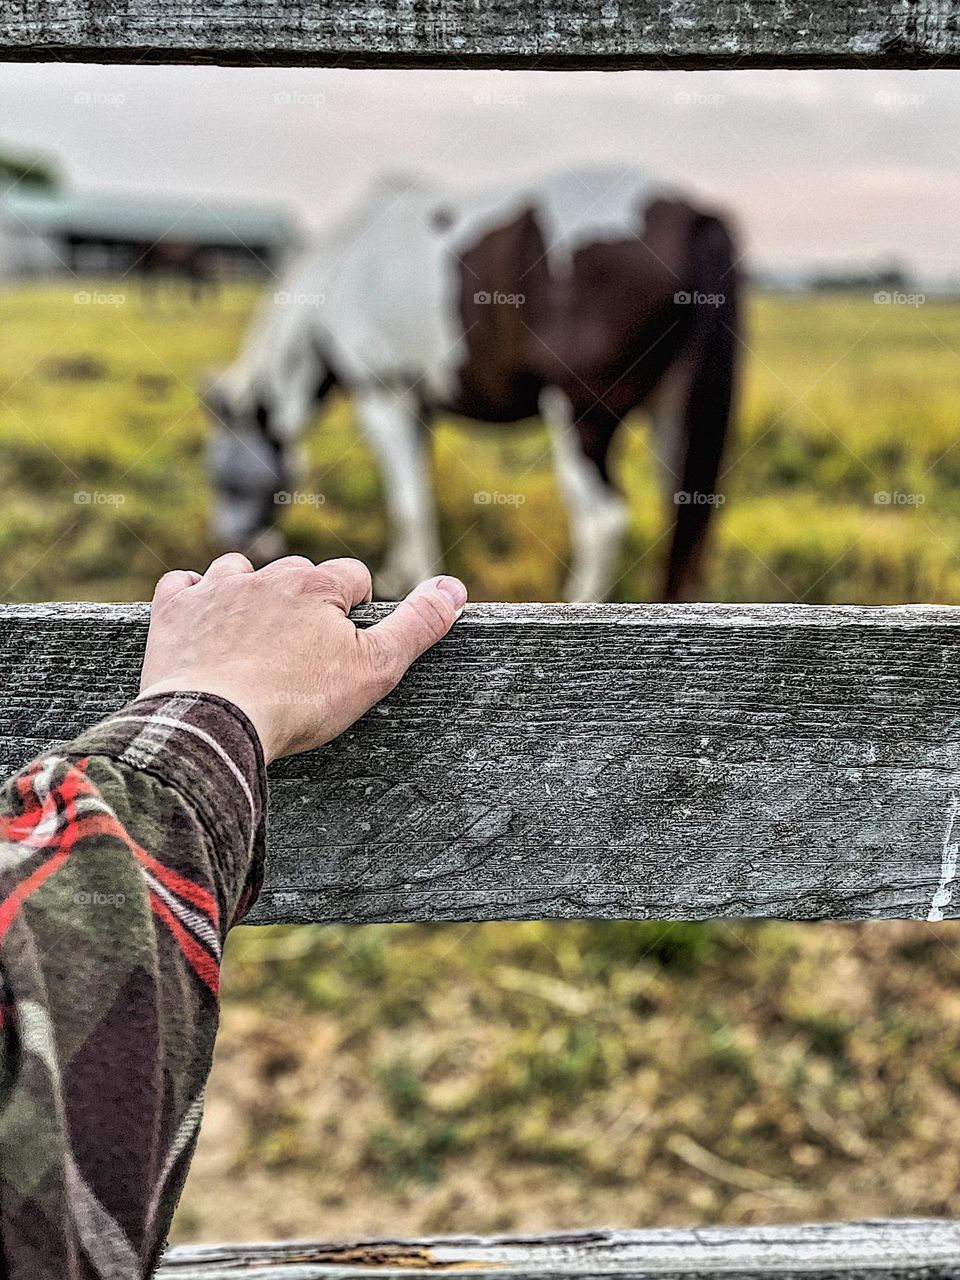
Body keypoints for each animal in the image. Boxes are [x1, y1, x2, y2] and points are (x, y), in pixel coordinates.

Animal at [204, 167, 742, 601]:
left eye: (225, 477)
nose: (234, 543)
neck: (338, 275)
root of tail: (689, 213)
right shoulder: (417, 408)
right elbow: (414, 493)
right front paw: (396, 576)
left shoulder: (385, 400)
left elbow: (408, 502)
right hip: (672, 412)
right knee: (681, 511)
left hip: (581, 416)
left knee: (603, 519)